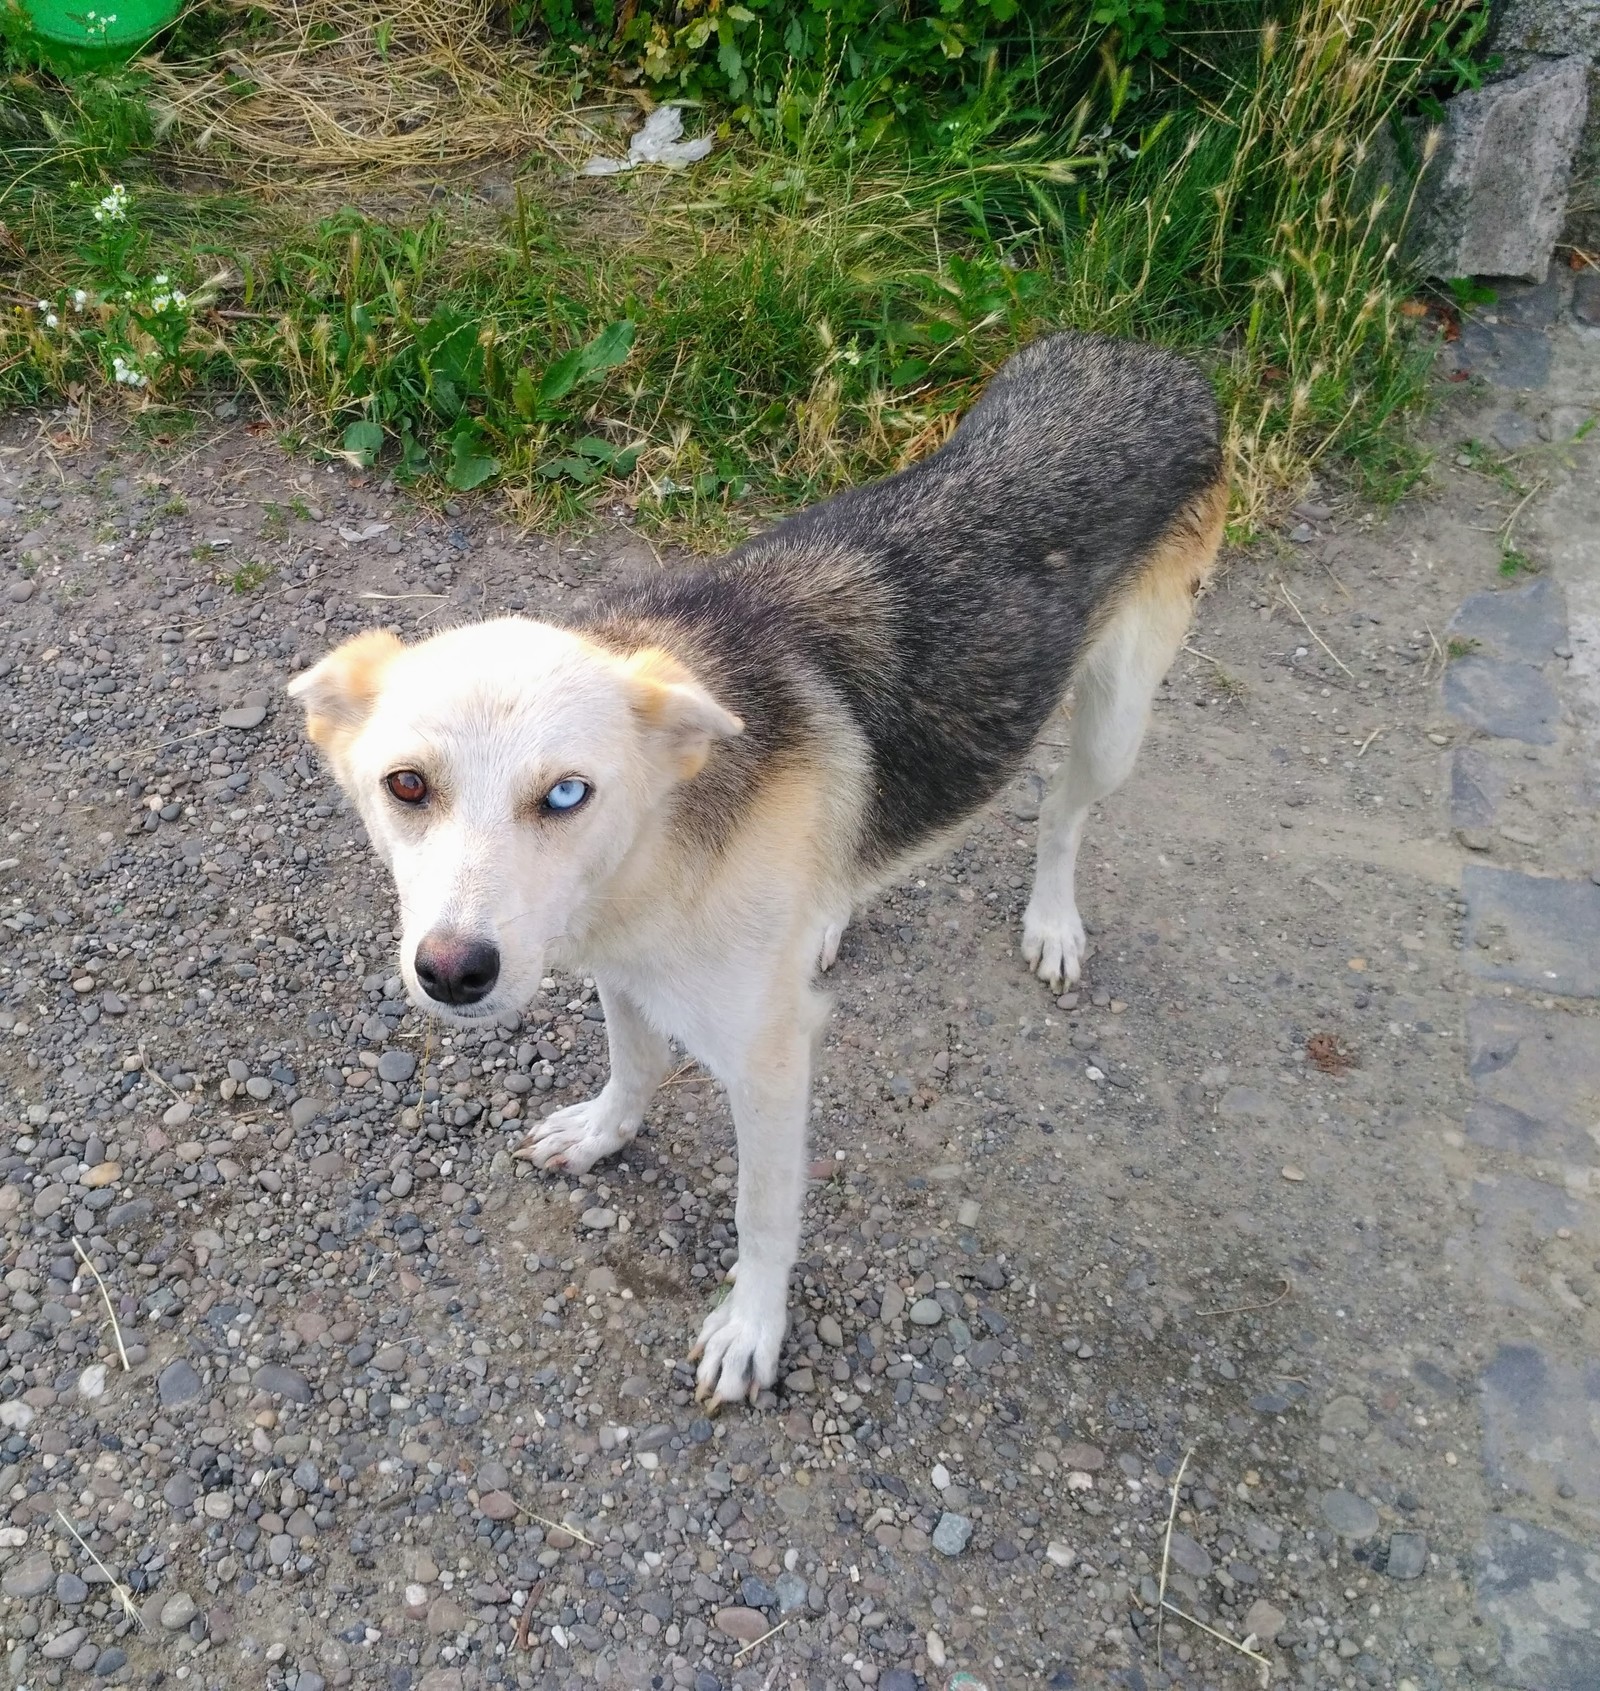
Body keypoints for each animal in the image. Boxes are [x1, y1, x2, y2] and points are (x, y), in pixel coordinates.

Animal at [287, 326, 1224, 1400]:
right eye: (406, 786)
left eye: (566, 794)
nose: (452, 972)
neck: (654, 851)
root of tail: (1148, 351)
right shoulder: (627, 971)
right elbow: (635, 1067)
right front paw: (603, 1133)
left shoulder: (773, 1062)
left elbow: (763, 1212)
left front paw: (752, 1327)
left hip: (1118, 719)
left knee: (1063, 815)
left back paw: (1053, 924)